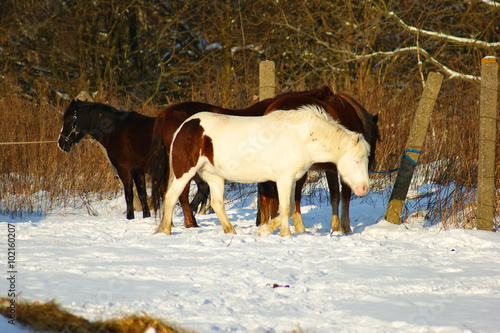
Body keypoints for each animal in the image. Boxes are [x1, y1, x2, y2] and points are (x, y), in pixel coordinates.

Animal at [154, 104, 370, 236]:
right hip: (185, 173)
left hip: (214, 176)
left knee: (217, 203)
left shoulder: (292, 180)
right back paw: (165, 230)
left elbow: (290, 208)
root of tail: (184, 126)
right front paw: (284, 234)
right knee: (171, 196)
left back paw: (231, 231)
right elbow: (285, 207)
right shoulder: (284, 179)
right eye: (356, 160)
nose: (364, 189)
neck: (300, 137)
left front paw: (266, 230)